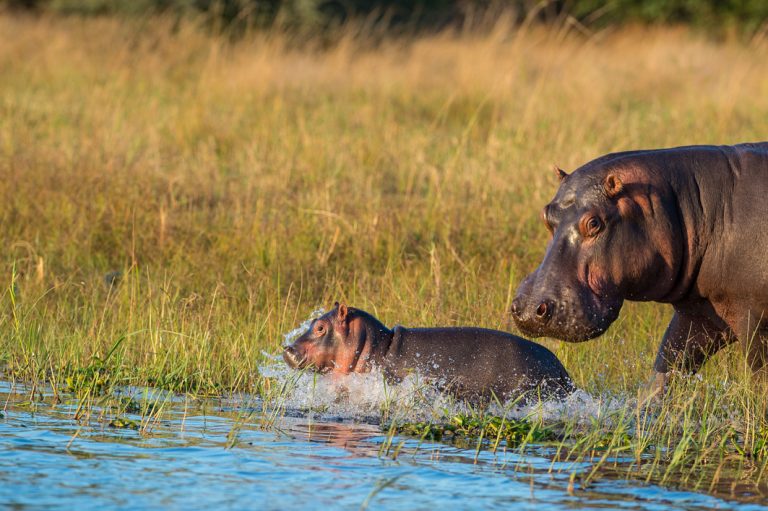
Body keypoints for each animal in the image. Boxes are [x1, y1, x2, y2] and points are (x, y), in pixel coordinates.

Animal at [510, 142, 768, 394]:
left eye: (594, 223)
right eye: (545, 216)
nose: (528, 309)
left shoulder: (754, 320)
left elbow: (761, 380)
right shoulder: (698, 313)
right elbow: (667, 368)